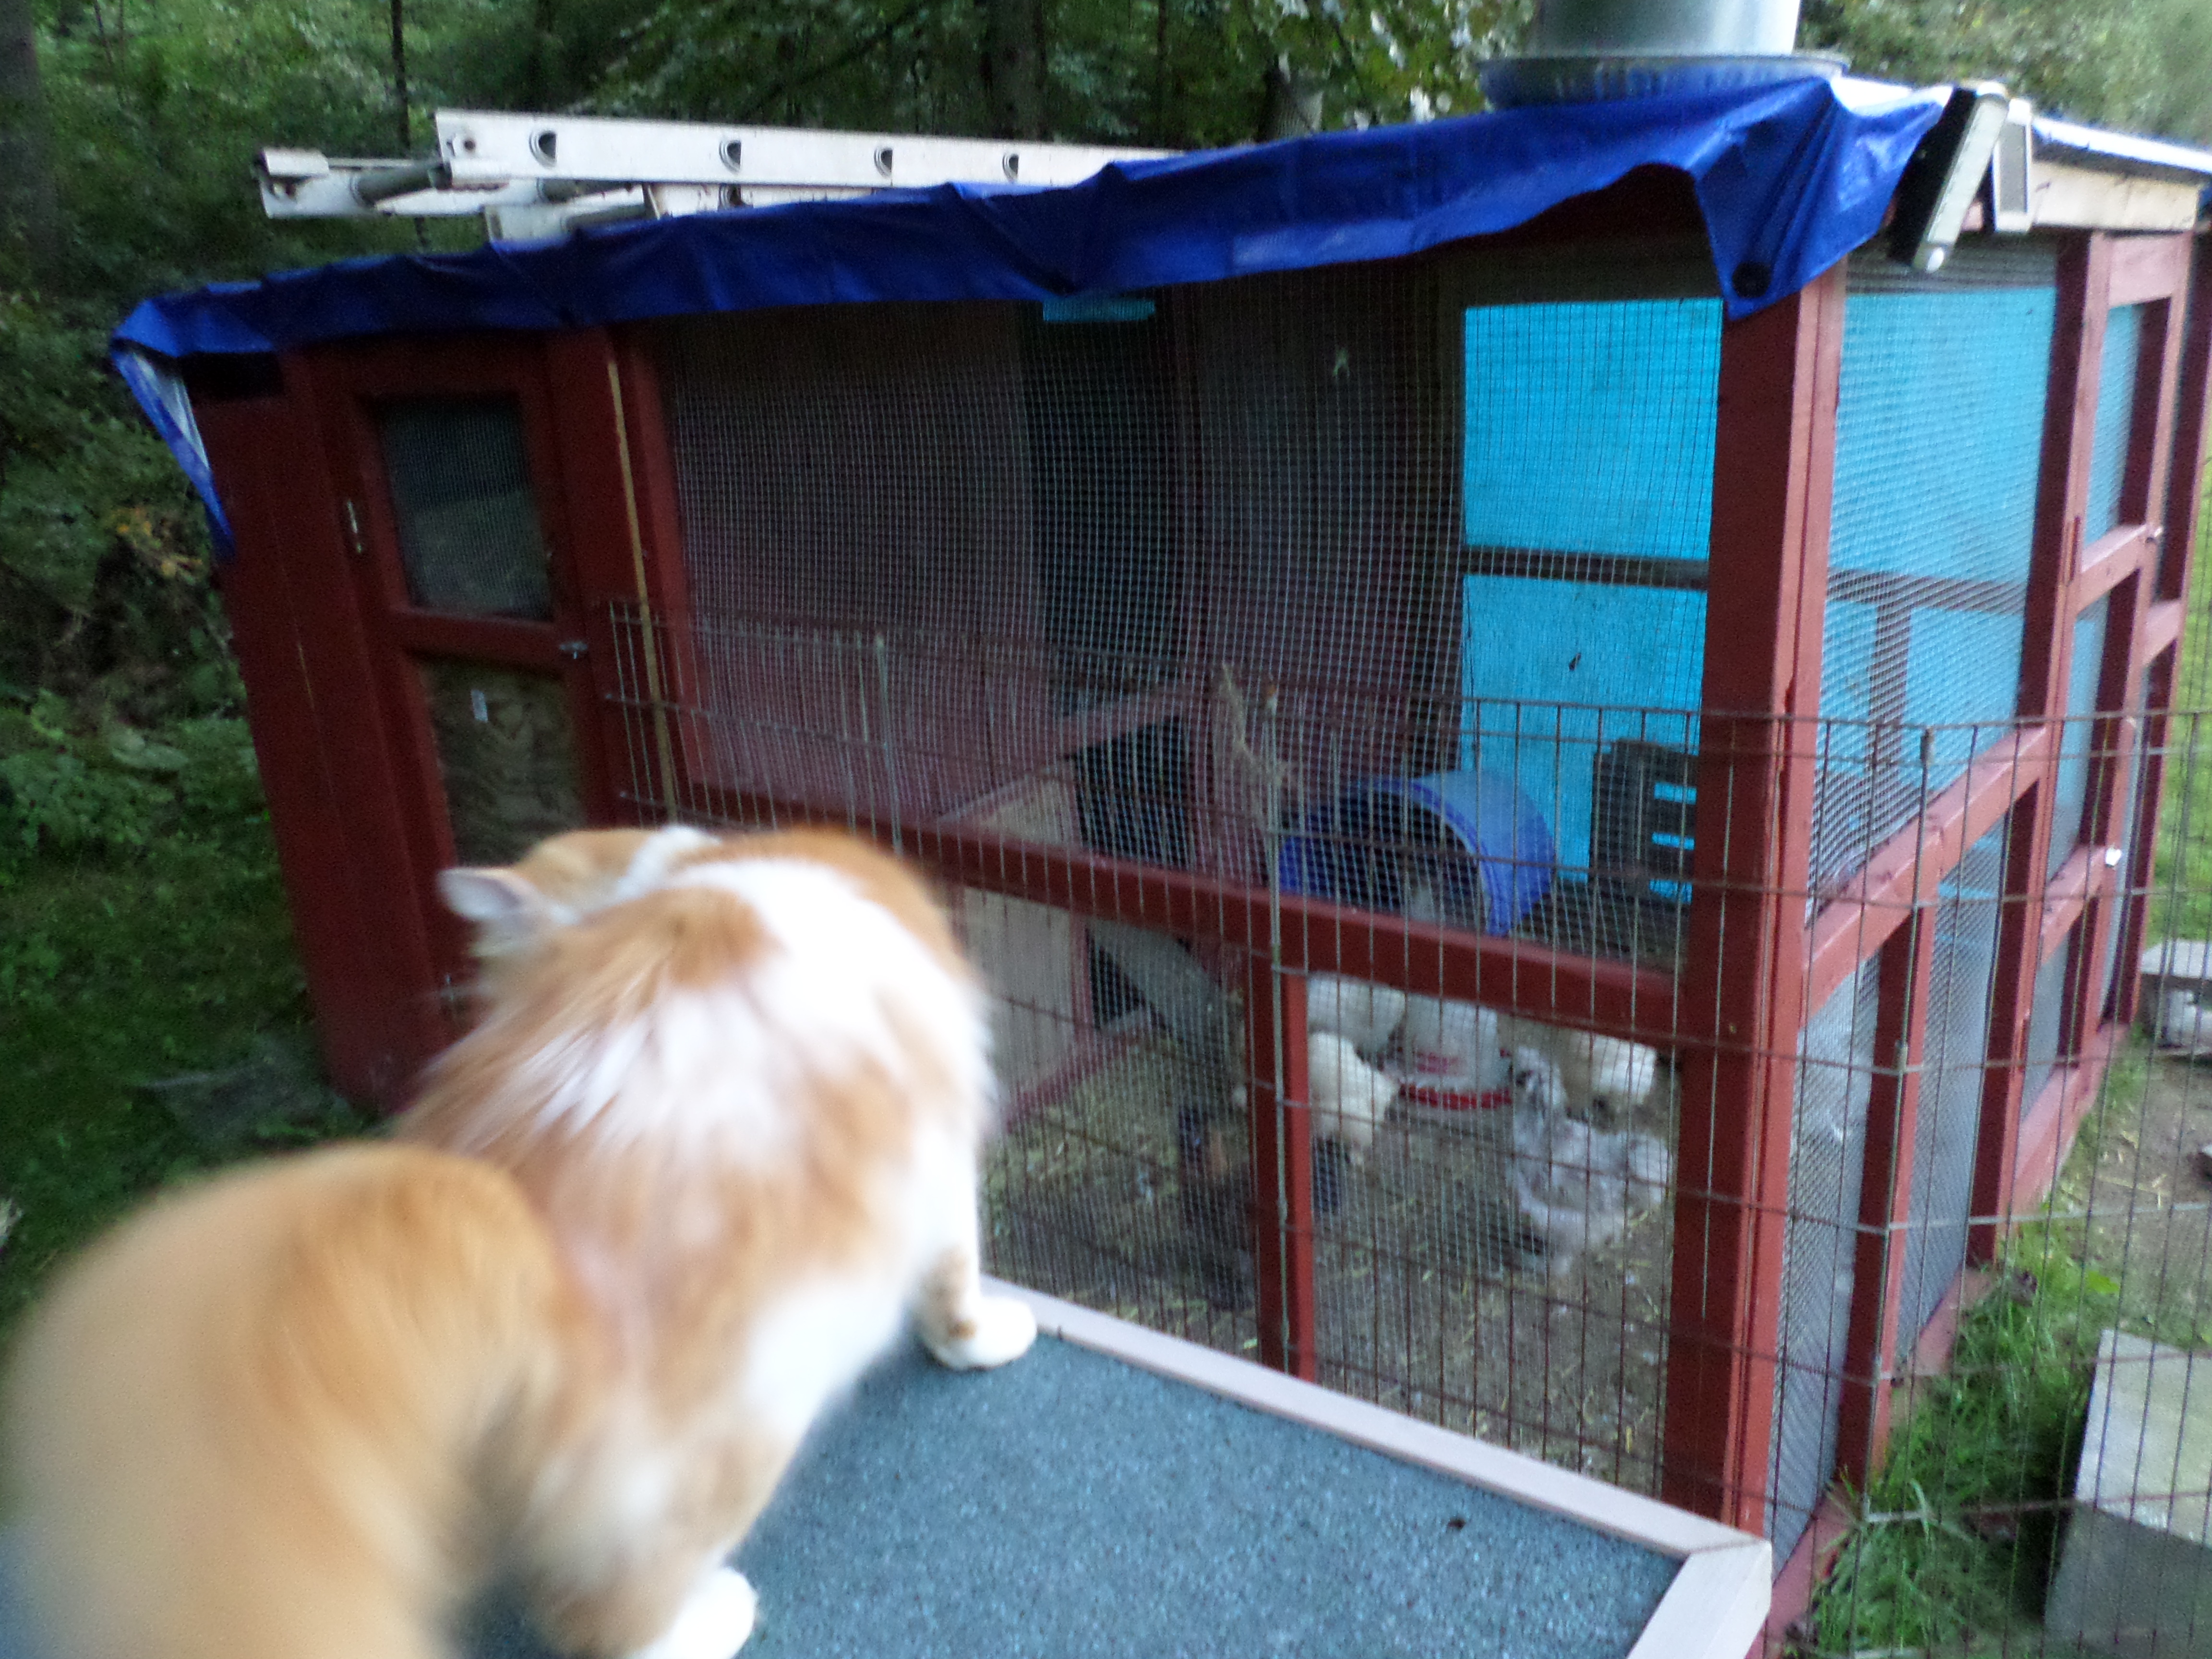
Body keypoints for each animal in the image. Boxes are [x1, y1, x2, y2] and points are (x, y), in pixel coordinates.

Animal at [4, 831, 1039, 1659]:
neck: (691, 863)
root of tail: (508, 1222)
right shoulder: (942, 1160)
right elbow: (958, 1279)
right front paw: (982, 1339)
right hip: (742, 1421)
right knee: (608, 1618)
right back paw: (711, 1618)